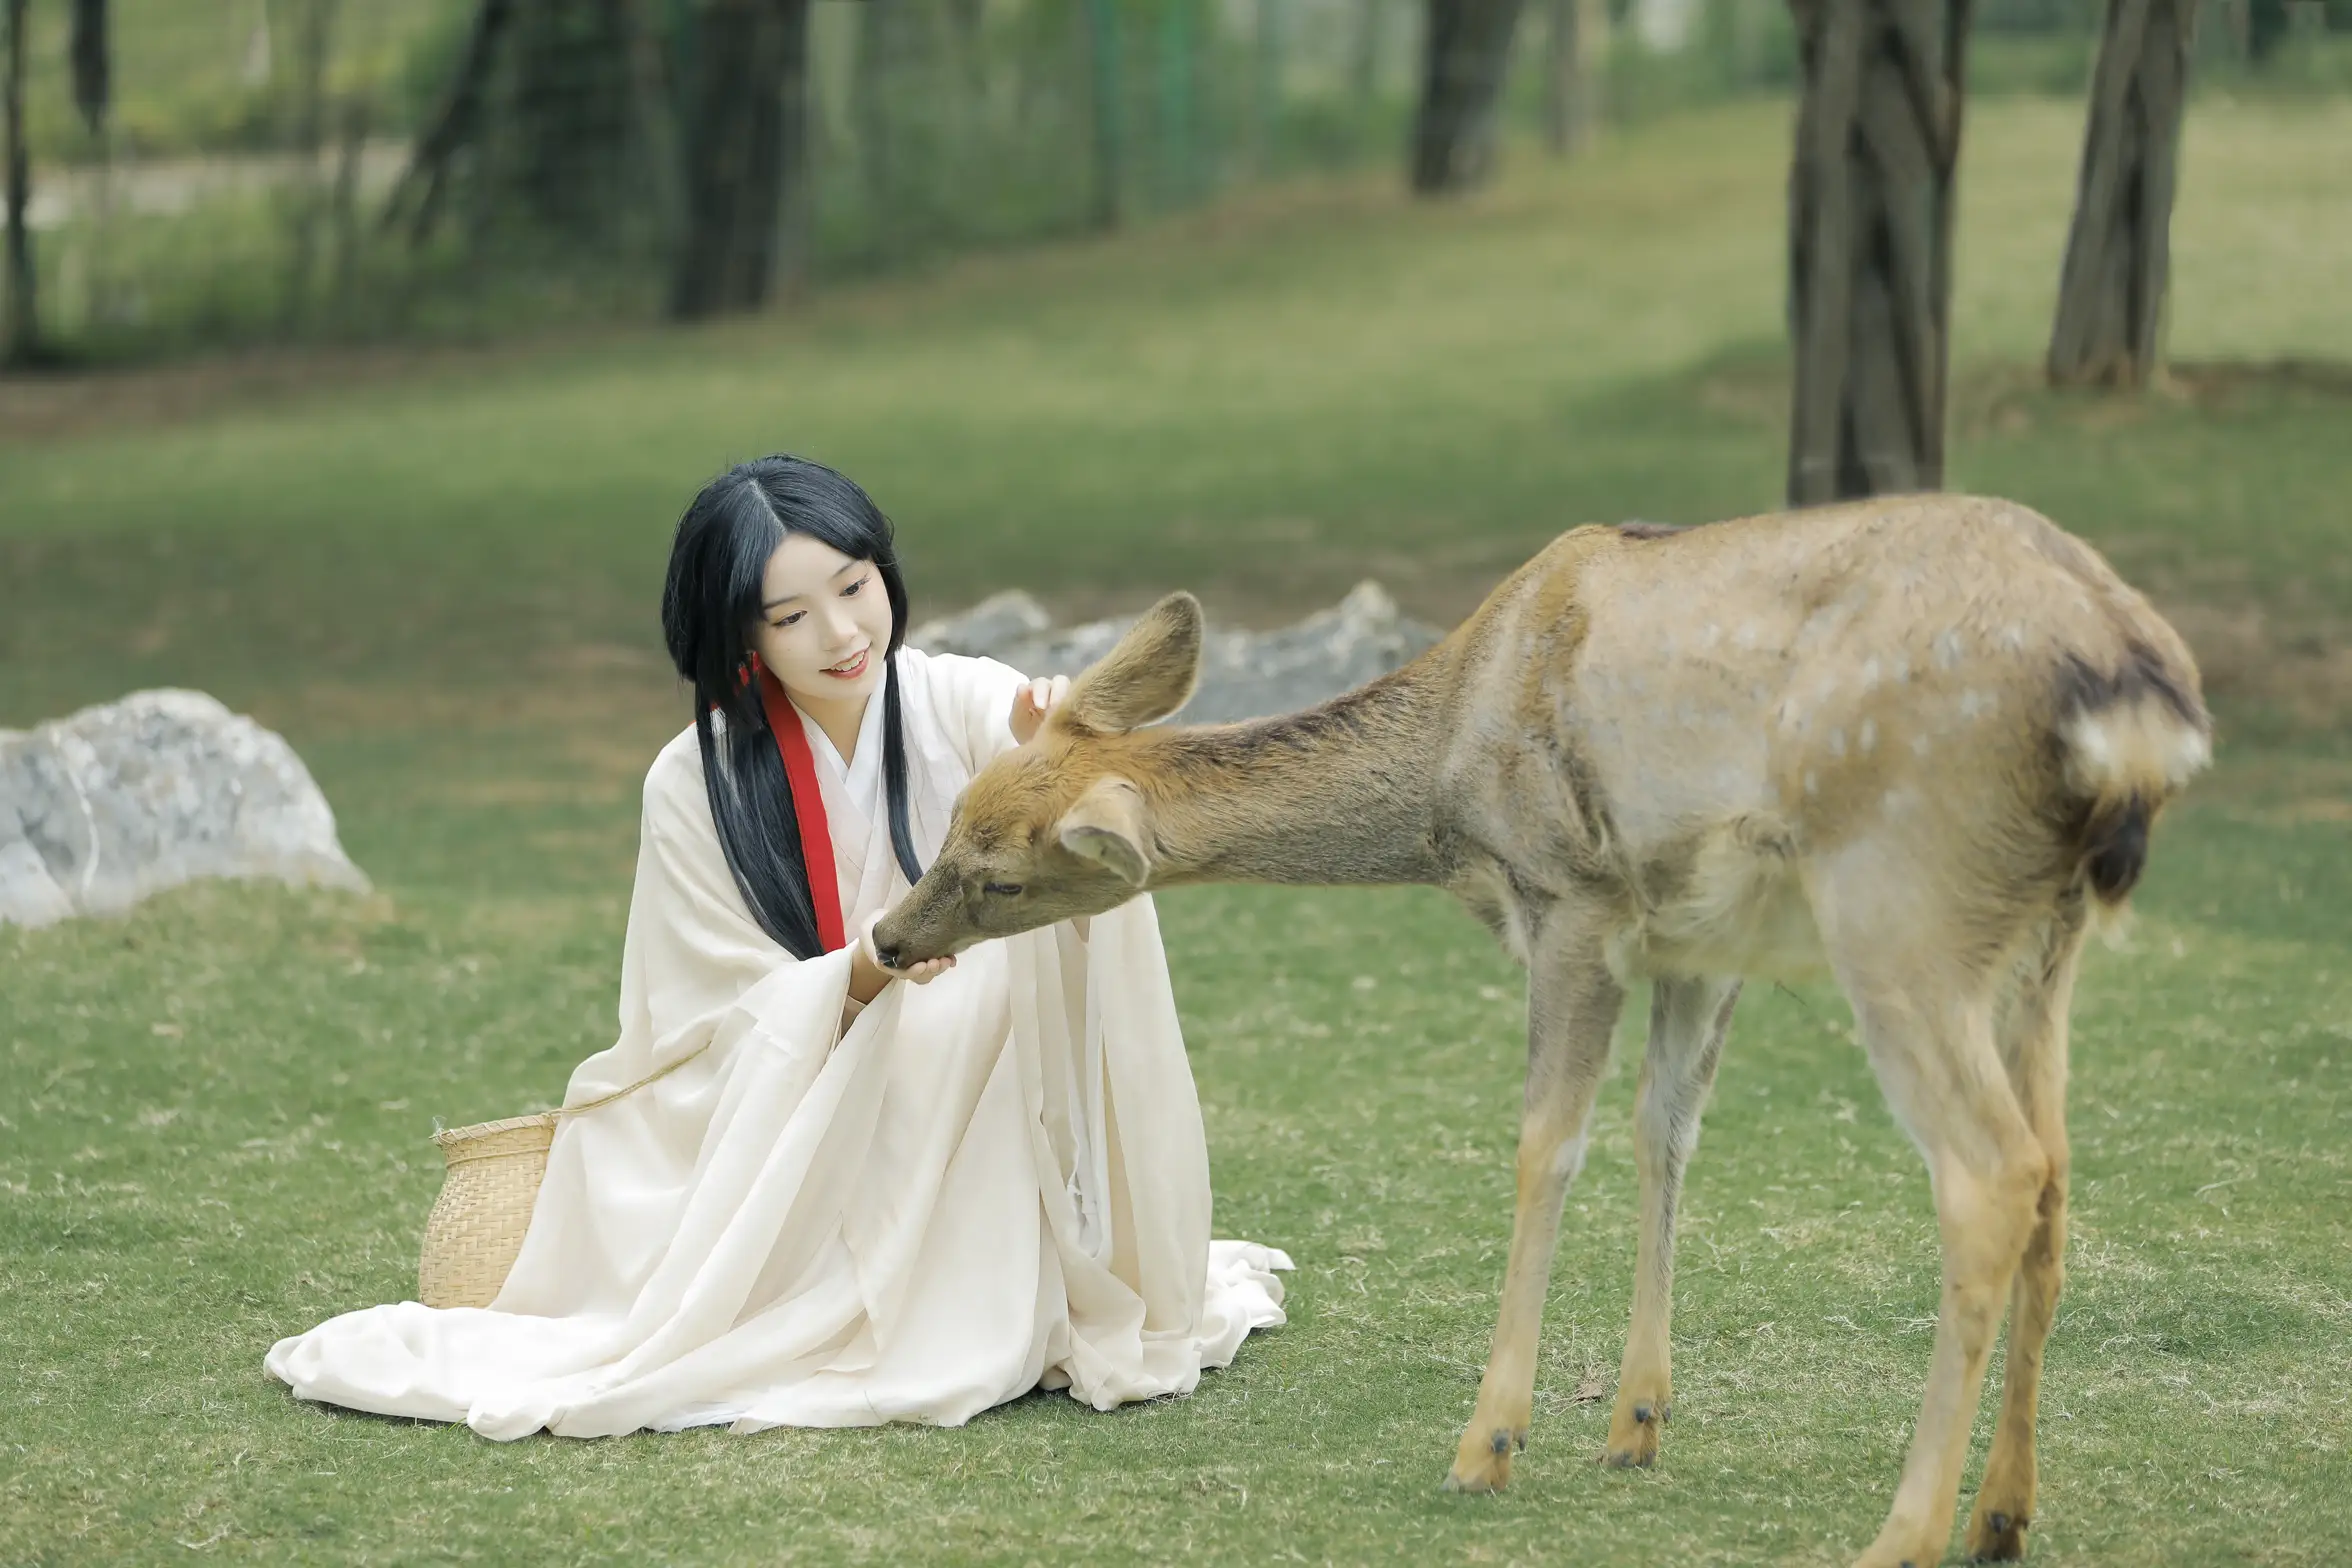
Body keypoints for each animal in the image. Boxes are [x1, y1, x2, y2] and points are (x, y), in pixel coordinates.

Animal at [871, 494, 2210, 1568]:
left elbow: (1542, 1146)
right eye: (954, 814)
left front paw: (1490, 1441)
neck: (1450, 773)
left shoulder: (1574, 898)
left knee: (1993, 1172)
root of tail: (2135, 690)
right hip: (2042, 940)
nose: (887, 935)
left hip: (1901, 901)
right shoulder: (1696, 943)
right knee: (2057, 1176)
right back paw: (2003, 1511)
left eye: (998, 873)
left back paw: (1904, 1530)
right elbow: (1666, 1132)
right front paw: (1635, 1424)